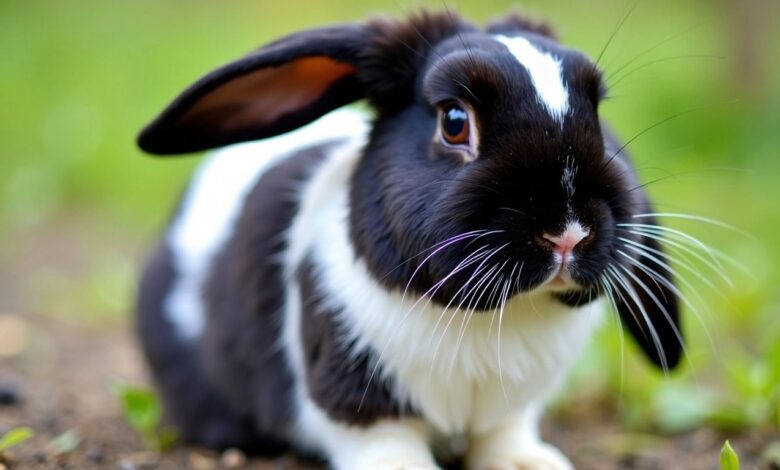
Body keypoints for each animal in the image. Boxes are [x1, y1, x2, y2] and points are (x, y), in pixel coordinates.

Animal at [134, 11, 684, 470]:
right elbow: (383, 438)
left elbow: (505, 431)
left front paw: (529, 464)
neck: (494, 318)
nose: (568, 231)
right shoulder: (352, 390)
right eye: (454, 121)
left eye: (595, 112)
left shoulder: (513, 404)